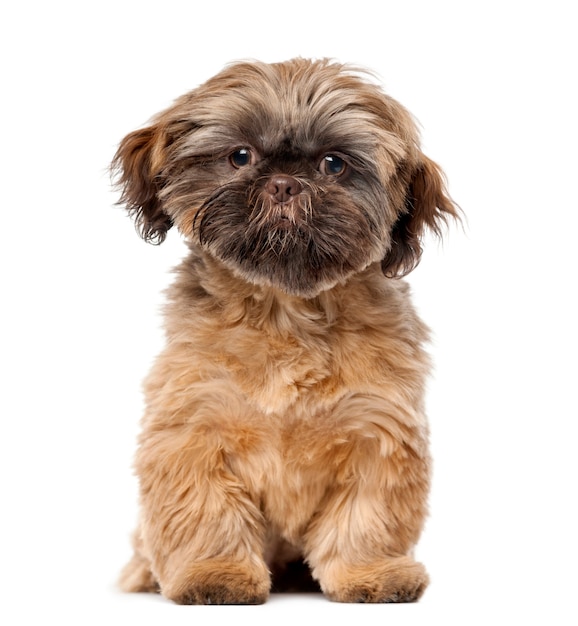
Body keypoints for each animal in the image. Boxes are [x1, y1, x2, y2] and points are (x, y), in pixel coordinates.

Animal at [111, 58, 454, 604]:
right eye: (240, 156)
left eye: (334, 164)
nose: (284, 184)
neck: (285, 313)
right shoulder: (194, 425)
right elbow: (204, 510)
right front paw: (214, 572)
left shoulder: (376, 427)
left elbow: (366, 517)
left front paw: (370, 572)